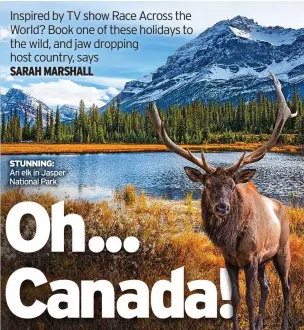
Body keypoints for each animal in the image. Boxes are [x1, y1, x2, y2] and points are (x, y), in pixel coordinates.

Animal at [147, 73, 296, 330]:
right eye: (207, 185)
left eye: (232, 186)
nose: (222, 207)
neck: (232, 239)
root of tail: (282, 208)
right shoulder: (229, 260)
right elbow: (234, 298)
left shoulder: (252, 258)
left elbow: (250, 298)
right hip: (265, 261)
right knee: (267, 286)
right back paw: (260, 323)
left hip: (282, 250)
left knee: (285, 287)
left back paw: (284, 324)